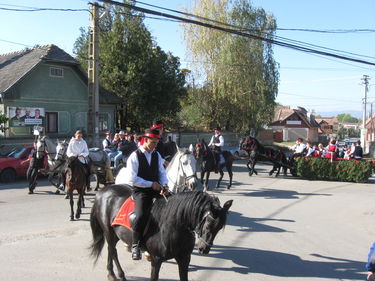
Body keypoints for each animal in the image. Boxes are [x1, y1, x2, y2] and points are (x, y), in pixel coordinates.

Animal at [90, 184, 232, 280]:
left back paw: (112, 274)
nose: (204, 249)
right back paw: (118, 274)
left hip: (115, 234)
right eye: (208, 224)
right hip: (108, 231)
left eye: (219, 228)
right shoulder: (156, 260)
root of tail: (102, 191)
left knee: (111, 249)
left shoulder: (184, 258)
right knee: (112, 250)